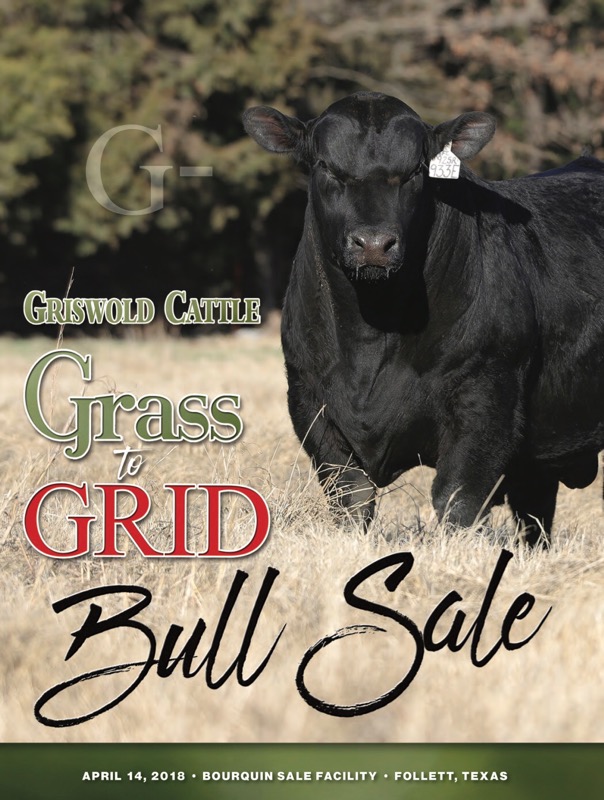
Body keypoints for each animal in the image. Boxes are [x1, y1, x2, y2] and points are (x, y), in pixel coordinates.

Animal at [243, 91, 604, 546]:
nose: (374, 244)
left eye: (416, 171)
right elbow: (351, 496)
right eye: (326, 166)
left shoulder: (486, 395)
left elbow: (457, 498)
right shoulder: (309, 399)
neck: (371, 338)